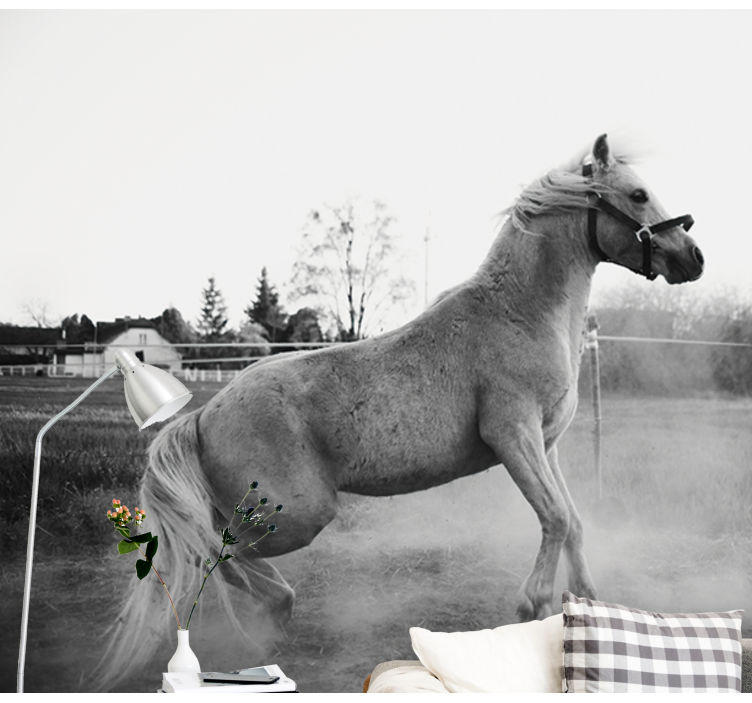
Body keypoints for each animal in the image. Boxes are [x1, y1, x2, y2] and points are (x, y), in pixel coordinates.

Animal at [95, 134, 703, 690]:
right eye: (639, 194)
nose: (694, 258)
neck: (522, 312)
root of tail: (202, 416)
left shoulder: (545, 445)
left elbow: (573, 522)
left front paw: (590, 606)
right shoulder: (513, 435)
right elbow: (554, 518)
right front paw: (531, 604)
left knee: (209, 549)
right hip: (297, 515)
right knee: (213, 555)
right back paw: (271, 619)